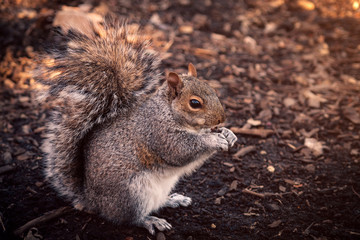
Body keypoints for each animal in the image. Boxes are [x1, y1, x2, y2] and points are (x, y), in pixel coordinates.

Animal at [38, 18, 238, 234]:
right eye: (195, 103)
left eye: (213, 90)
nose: (221, 119)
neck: (169, 113)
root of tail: (92, 201)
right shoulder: (157, 132)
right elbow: (181, 150)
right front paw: (214, 139)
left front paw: (229, 134)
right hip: (132, 193)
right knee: (129, 218)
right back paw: (150, 221)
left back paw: (172, 200)